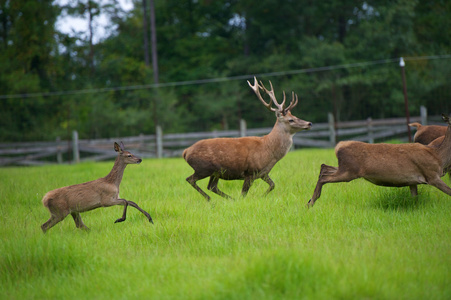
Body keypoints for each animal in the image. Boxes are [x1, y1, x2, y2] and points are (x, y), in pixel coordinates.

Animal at [308, 113, 451, 207]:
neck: (439, 157)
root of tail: (338, 146)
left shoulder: (412, 181)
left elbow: (414, 198)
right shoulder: (431, 175)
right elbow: (450, 192)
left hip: (345, 168)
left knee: (324, 168)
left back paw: (311, 200)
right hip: (349, 171)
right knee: (324, 177)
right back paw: (311, 202)